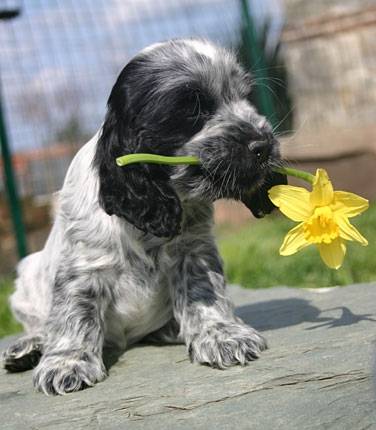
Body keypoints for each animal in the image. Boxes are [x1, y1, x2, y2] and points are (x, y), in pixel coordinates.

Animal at [2, 40, 284, 396]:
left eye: (245, 97)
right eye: (193, 109)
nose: (263, 145)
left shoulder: (195, 251)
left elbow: (203, 293)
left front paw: (223, 334)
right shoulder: (84, 265)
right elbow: (74, 313)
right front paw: (67, 362)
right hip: (27, 277)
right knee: (40, 322)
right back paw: (28, 347)